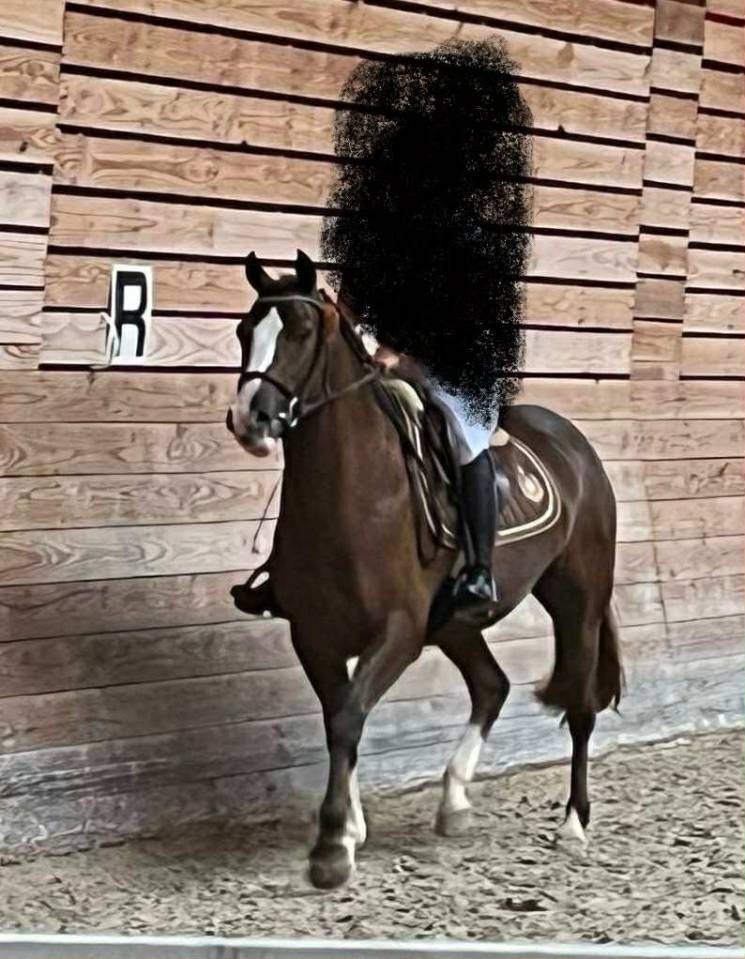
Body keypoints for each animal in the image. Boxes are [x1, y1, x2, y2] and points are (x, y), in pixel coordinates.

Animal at [226, 249, 622, 890]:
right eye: (245, 332)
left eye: (302, 332)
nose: (250, 419)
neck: (352, 497)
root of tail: (574, 445)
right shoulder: (314, 635)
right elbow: (339, 716)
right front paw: (351, 827)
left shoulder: (399, 633)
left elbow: (348, 716)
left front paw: (332, 846)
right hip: (457, 623)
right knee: (491, 685)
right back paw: (455, 801)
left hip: (577, 601)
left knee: (580, 708)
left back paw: (573, 824)